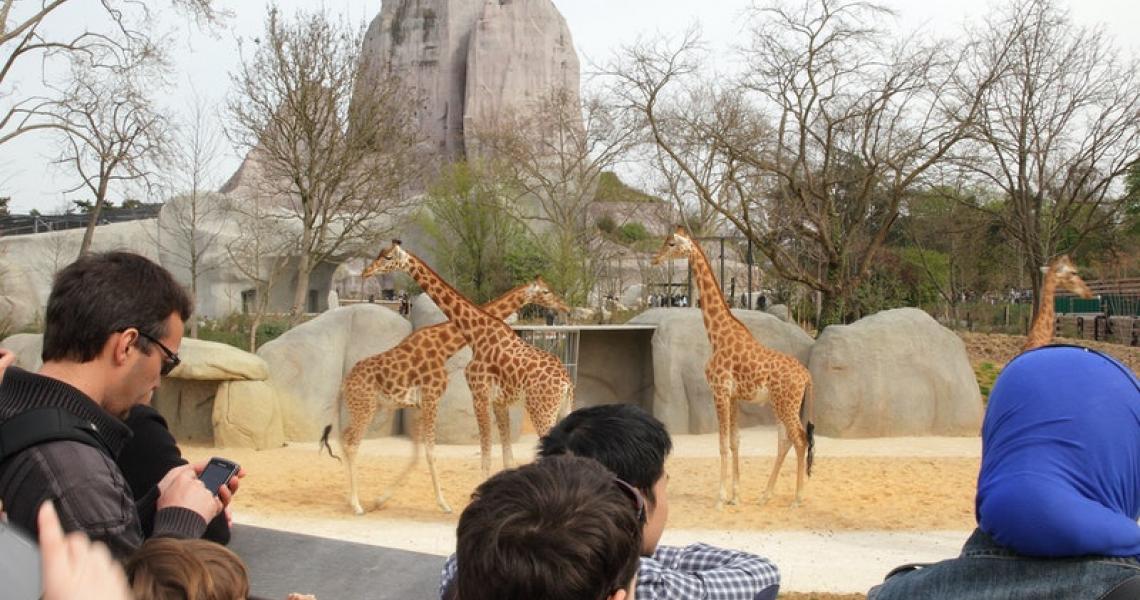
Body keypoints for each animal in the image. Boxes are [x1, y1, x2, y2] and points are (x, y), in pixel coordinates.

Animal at [321, 277, 570, 517]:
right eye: (546, 291)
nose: (564, 307)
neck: (446, 342)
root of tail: (344, 384)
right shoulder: (433, 399)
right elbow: (432, 451)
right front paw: (445, 504)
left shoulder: (418, 404)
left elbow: (419, 452)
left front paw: (382, 500)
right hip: (365, 407)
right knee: (352, 442)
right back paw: (356, 505)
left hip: (374, 407)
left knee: (344, 437)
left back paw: (353, 499)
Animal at [362, 241, 579, 481]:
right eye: (382, 255)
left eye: (388, 257)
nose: (366, 272)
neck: (475, 332)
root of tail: (566, 384)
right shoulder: (499, 401)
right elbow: (505, 458)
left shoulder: (480, 395)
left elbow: (486, 457)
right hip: (562, 410)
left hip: (543, 411)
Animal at [656, 228, 816, 511]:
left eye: (672, 243)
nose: (655, 258)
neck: (717, 336)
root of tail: (807, 376)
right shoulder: (733, 396)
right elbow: (734, 441)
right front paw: (736, 496)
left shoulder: (719, 391)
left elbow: (721, 444)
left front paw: (720, 498)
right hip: (782, 404)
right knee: (785, 440)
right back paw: (765, 495)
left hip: (785, 404)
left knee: (799, 439)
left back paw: (796, 499)